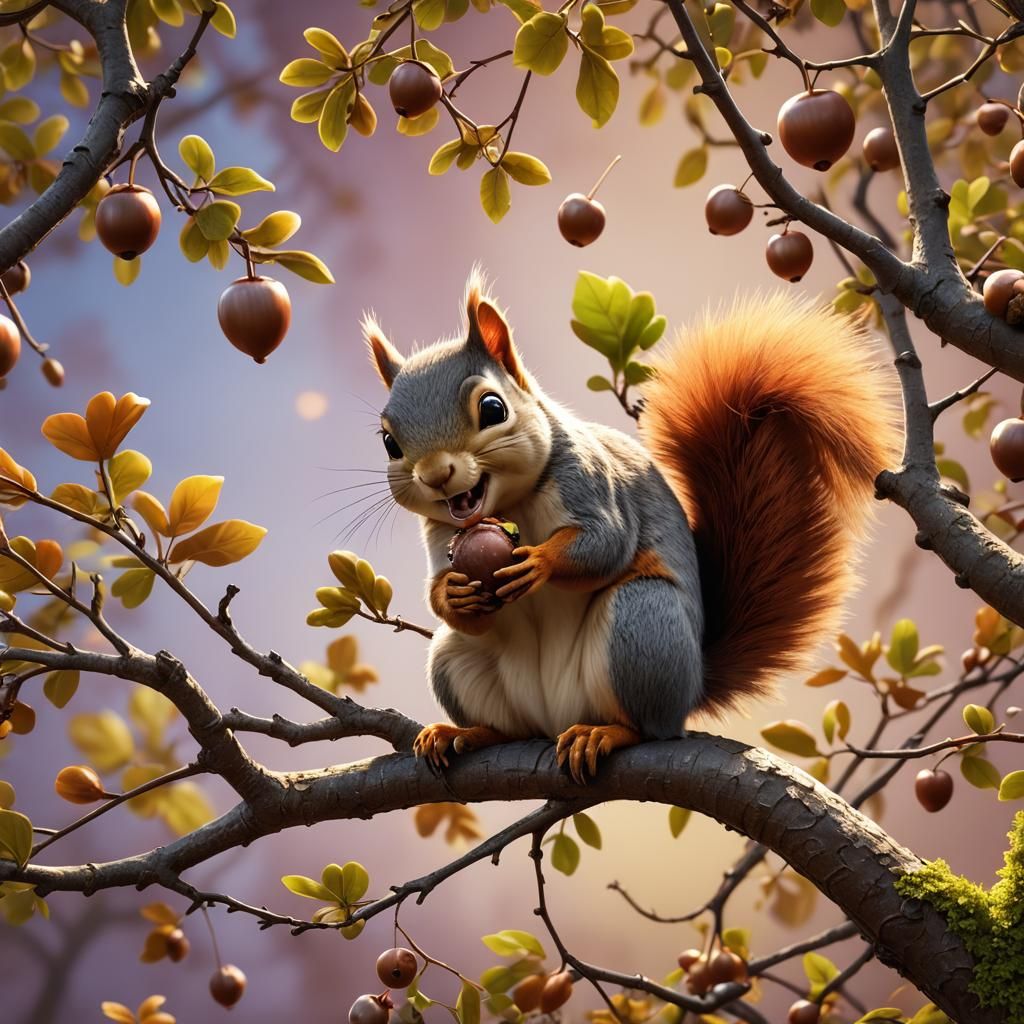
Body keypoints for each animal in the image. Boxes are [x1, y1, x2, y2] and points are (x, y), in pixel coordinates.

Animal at [363, 271, 899, 782]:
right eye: (389, 443)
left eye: (493, 408)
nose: (436, 475)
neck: (510, 503)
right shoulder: (440, 535)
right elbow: (445, 592)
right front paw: (452, 594)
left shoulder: (589, 481)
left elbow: (606, 544)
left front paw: (540, 562)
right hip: (456, 659)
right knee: (502, 718)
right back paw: (465, 734)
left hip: (642, 624)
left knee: (647, 727)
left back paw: (603, 734)